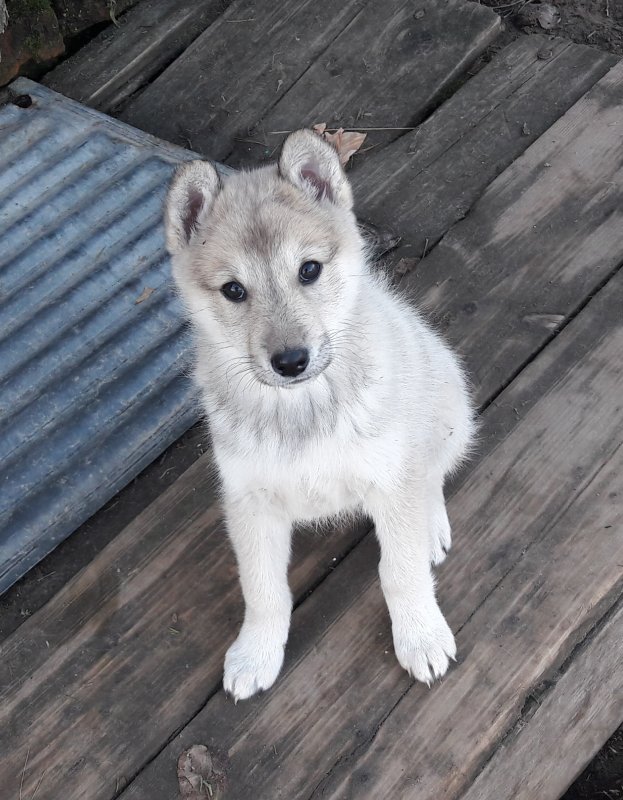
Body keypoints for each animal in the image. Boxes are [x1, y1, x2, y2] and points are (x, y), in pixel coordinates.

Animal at [163, 131, 476, 700]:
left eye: (309, 270)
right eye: (234, 290)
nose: (291, 361)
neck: (301, 409)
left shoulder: (391, 478)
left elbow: (401, 573)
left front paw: (420, 635)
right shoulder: (250, 502)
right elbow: (263, 590)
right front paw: (256, 653)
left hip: (448, 414)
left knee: (433, 475)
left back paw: (432, 527)